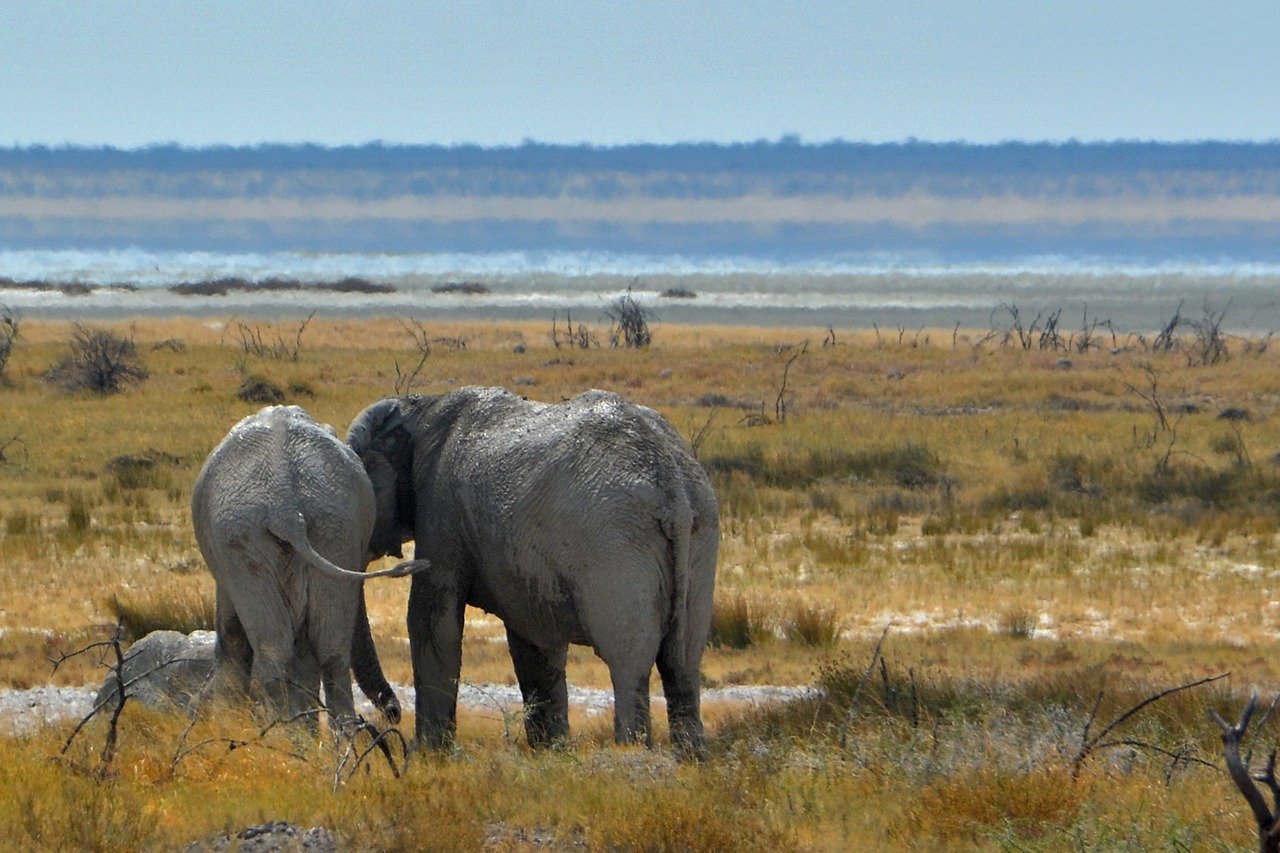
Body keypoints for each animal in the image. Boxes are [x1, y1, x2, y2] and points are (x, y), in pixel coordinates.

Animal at [190, 402, 419, 722]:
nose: (394, 713)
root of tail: (287, 505)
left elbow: (234, 634)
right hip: (335, 527)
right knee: (332, 650)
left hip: (242, 536)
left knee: (274, 649)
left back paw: (280, 732)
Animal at [345, 389, 716, 753]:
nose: (393, 714)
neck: (417, 405)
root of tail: (672, 488)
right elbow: (532, 638)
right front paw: (549, 751)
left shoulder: (440, 509)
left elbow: (431, 621)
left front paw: (426, 753)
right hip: (699, 538)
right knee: (682, 662)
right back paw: (691, 756)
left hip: (616, 544)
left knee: (629, 662)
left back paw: (631, 751)